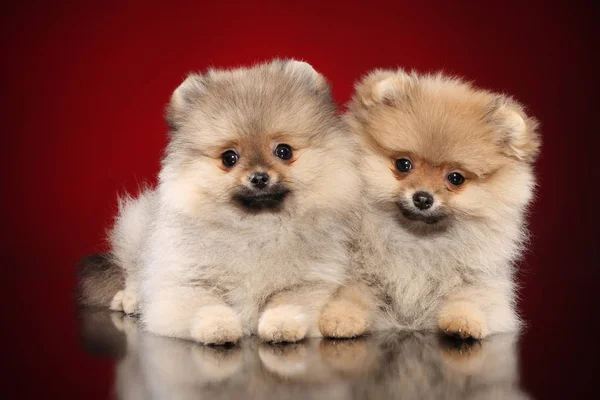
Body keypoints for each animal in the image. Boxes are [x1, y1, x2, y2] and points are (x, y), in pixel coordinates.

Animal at [79, 59, 360, 344]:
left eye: (284, 151)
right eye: (229, 158)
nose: (259, 177)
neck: (257, 228)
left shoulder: (311, 281)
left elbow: (289, 302)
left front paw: (281, 325)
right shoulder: (187, 280)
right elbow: (205, 304)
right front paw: (218, 327)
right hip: (136, 228)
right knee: (134, 272)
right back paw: (131, 299)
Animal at [322, 70, 540, 340]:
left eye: (456, 178)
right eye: (403, 164)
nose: (423, 198)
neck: (419, 239)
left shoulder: (479, 278)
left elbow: (471, 297)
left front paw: (464, 320)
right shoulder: (358, 272)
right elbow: (353, 291)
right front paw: (341, 318)